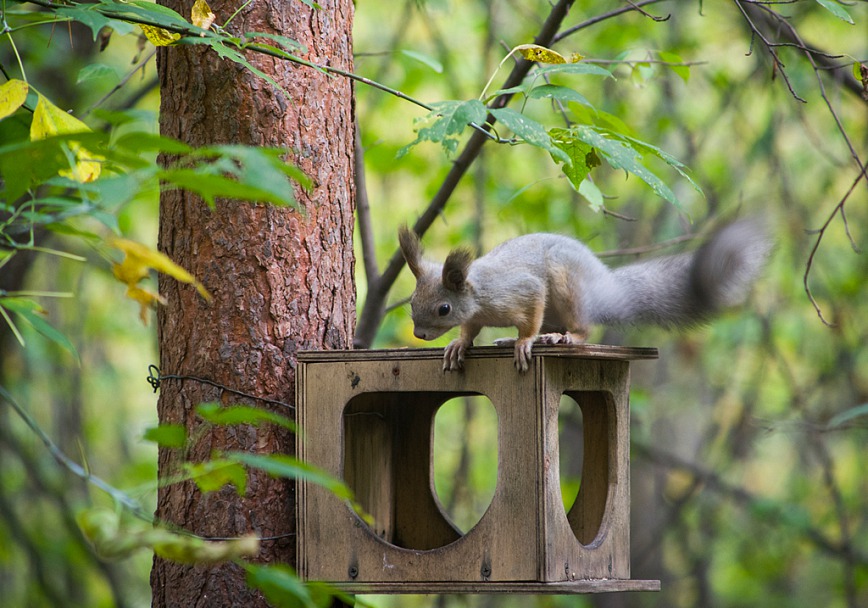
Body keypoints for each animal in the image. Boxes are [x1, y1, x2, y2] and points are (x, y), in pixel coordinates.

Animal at [396, 218, 768, 370]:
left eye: (444, 308)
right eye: (412, 303)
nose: (420, 334)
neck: (479, 292)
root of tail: (603, 289)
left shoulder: (521, 290)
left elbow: (531, 309)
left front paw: (524, 343)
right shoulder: (476, 314)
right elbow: (470, 330)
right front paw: (459, 345)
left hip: (567, 285)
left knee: (582, 328)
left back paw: (559, 339)